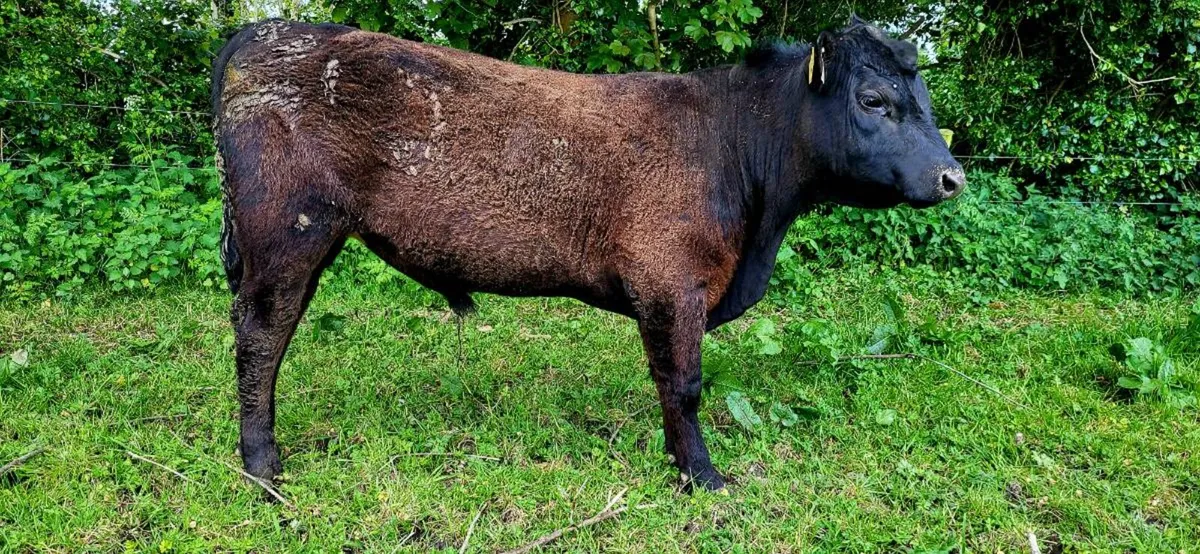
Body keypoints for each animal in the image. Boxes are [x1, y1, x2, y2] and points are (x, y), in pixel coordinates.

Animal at [211, 15, 963, 492]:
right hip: (288, 232)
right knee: (261, 338)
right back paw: (263, 468)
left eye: (923, 98)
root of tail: (265, 31)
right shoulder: (671, 283)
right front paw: (702, 477)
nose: (951, 177)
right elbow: (684, 385)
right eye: (874, 99)